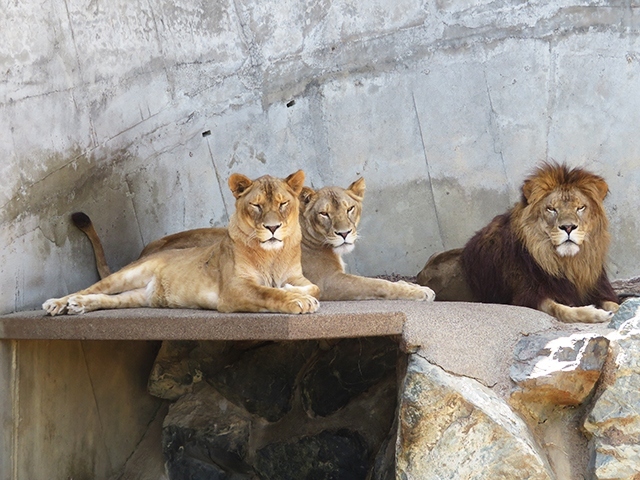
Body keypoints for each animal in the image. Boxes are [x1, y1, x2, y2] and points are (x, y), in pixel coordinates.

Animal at [42, 171, 320, 316]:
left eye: (283, 203)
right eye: (256, 205)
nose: (272, 228)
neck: (273, 254)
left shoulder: (298, 276)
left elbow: (314, 287)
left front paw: (296, 291)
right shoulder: (233, 290)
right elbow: (267, 292)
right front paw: (296, 299)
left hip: (136, 297)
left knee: (105, 298)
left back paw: (79, 306)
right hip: (126, 275)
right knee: (87, 288)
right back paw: (58, 303)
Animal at [75, 178, 436, 302]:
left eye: (349, 208)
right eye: (324, 214)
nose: (345, 232)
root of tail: (143, 251)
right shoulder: (328, 281)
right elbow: (377, 284)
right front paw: (419, 291)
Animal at [418, 163, 616, 324]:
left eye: (580, 207)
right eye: (551, 209)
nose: (568, 227)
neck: (567, 263)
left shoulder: (595, 288)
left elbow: (613, 303)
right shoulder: (527, 296)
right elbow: (562, 309)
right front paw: (596, 314)